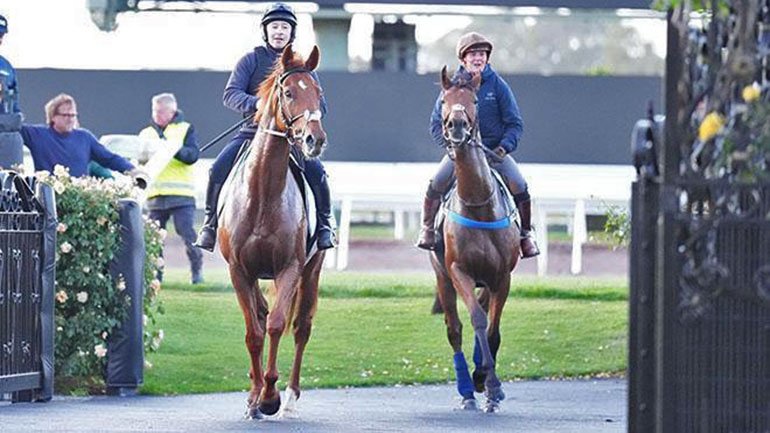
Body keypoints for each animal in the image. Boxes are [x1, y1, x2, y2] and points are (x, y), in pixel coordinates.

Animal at [218, 44, 326, 418]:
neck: (263, 195)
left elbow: (278, 324)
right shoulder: (239, 270)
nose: (314, 139)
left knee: (302, 327)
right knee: (261, 315)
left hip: (312, 270)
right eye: (289, 92)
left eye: (318, 93)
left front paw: (270, 397)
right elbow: (254, 331)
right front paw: (255, 397)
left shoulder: (289, 268)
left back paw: (289, 396)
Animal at [428, 67, 520, 412]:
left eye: (476, 100)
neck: (479, 205)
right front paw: (485, 383)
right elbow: (478, 322)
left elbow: (493, 330)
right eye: (444, 100)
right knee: (454, 328)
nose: (456, 125)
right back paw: (467, 389)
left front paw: (491, 386)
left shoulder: (502, 276)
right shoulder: (459, 271)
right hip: (442, 276)